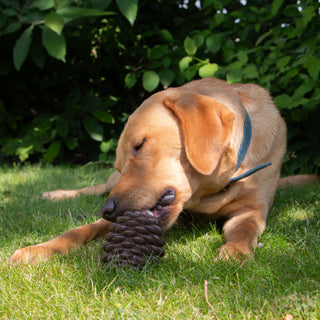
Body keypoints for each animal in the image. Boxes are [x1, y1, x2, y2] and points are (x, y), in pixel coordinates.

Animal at [9, 79, 318, 264]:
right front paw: (40, 248)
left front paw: (234, 252)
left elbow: (243, 230)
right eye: (122, 163)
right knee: (94, 187)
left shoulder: (251, 210)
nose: (107, 211)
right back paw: (54, 194)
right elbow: (78, 230)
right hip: (107, 185)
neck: (208, 191)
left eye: (140, 145)